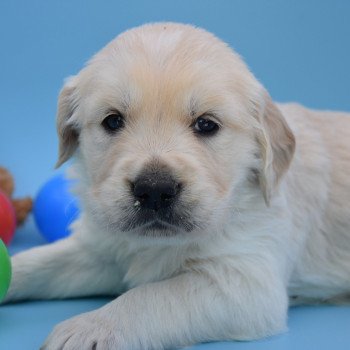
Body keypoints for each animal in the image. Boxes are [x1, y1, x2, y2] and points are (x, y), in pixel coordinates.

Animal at [4, 22, 350, 350]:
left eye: (207, 124)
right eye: (112, 121)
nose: (155, 190)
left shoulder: (246, 283)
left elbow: (151, 297)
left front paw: (90, 328)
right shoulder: (102, 247)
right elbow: (41, 261)